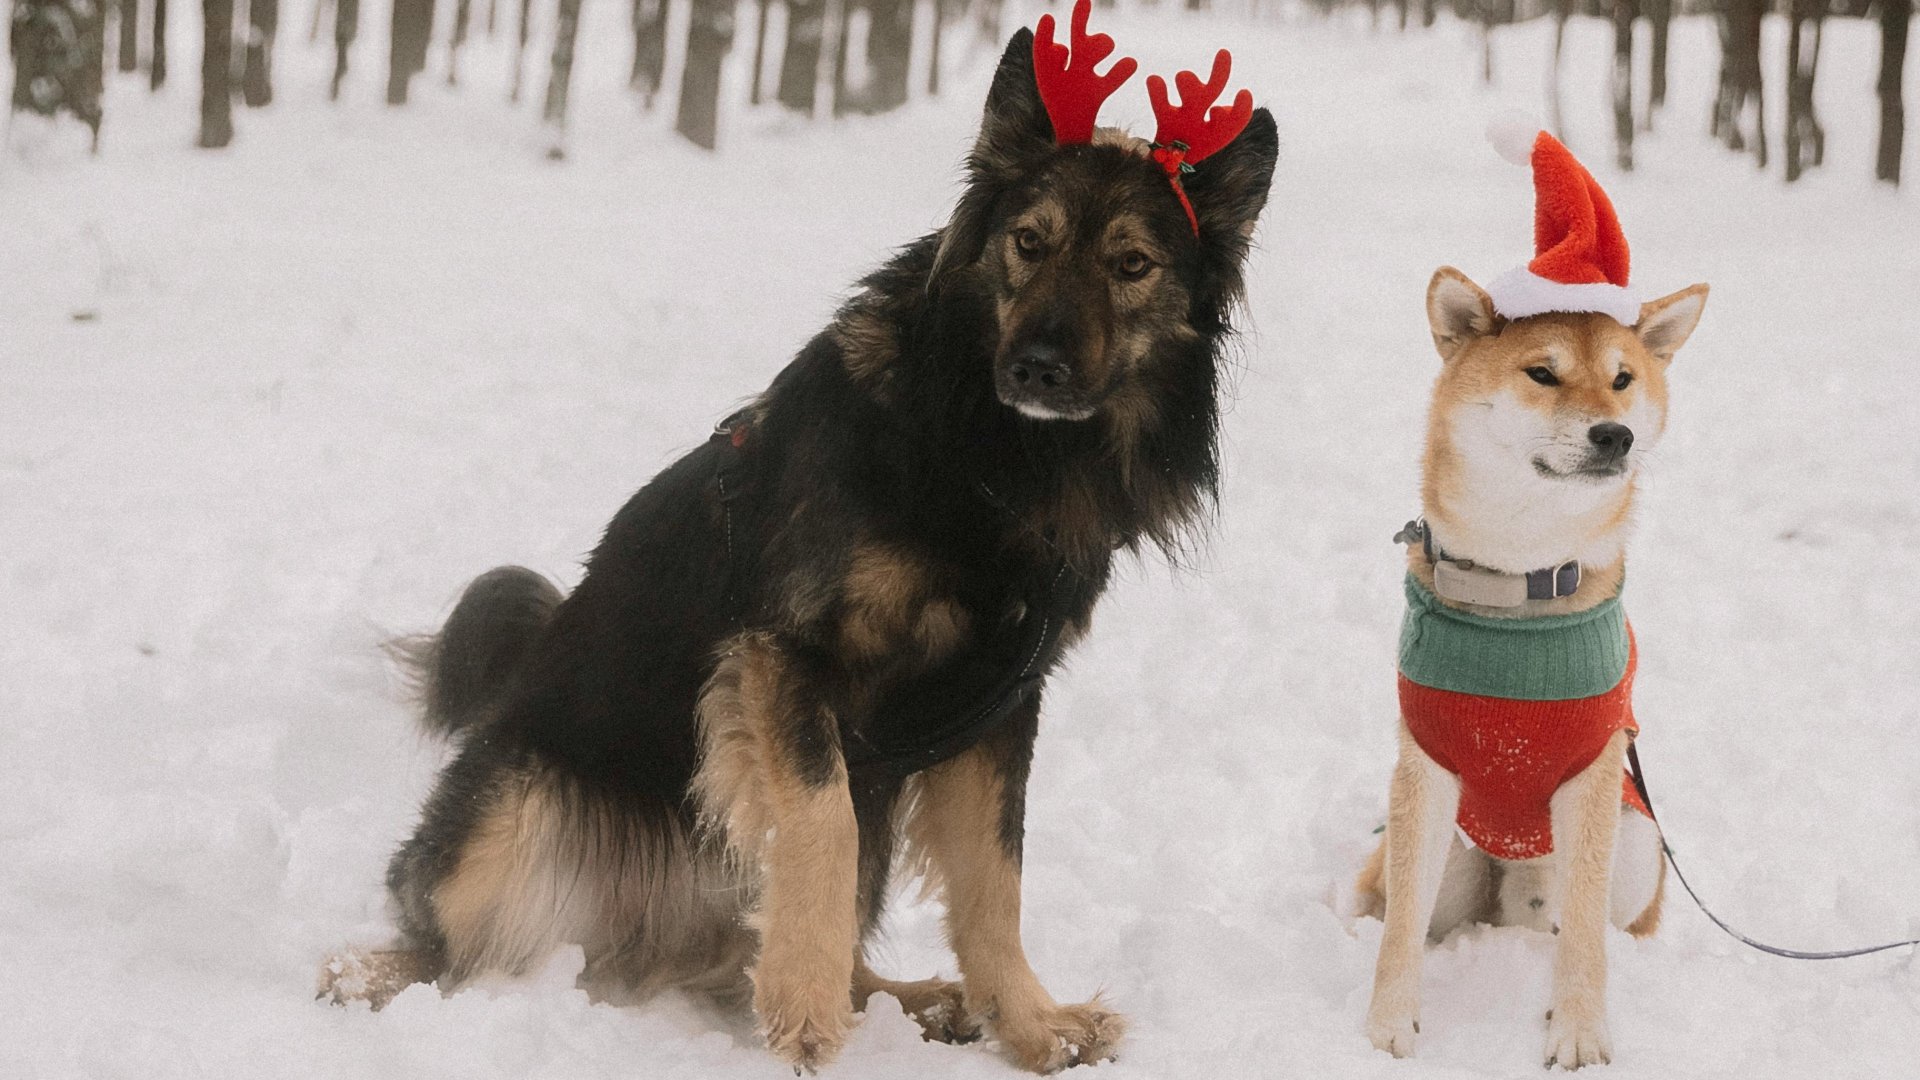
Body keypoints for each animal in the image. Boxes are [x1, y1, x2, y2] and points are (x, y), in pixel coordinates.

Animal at [318, 6, 1274, 1068]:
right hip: (521, 808)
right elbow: (819, 827)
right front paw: (806, 1013)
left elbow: (995, 883)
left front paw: (1030, 1024)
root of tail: (646, 944)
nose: (1037, 367)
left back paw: (912, 999)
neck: (986, 459)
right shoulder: (786, 660)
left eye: (1132, 265)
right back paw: (366, 977)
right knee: (444, 938)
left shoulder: (1001, 706)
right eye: (1030, 242)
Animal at [1359, 130, 1704, 1060]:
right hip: (1446, 856)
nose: (1614, 435)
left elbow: (1582, 936)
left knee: (1584, 921)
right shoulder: (1426, 764)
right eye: (1542, 374)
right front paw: (1387, 1025)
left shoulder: (1591, 775)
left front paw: (1578, 1032)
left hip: (1637, 838)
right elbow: (1400, 931)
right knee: (1396, 901)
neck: (1520, 578)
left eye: (1623, 381)